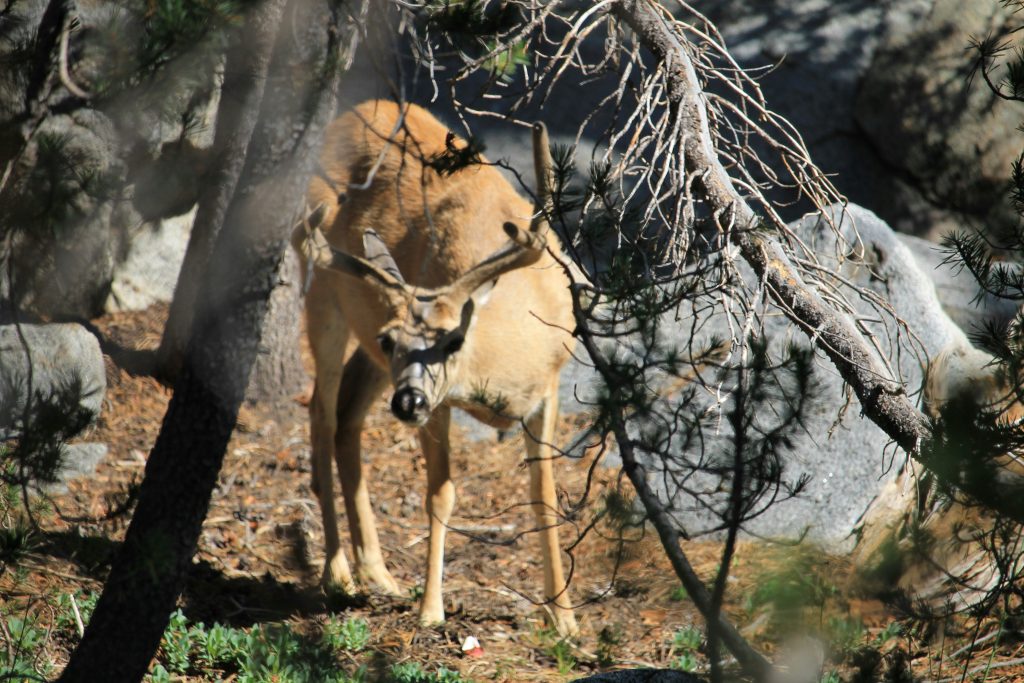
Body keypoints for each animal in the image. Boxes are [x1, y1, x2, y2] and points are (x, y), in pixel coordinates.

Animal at [294, 100, 577, 634]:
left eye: (453, 339)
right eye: (391, 339)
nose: (408, 403)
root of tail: (354, 111)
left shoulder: (549, 387)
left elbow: (545, 493)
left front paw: (565, 620)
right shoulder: (439, 403)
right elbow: (440, 494)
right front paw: (431, 610)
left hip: (368, 354)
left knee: (347, 415)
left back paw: (378, 573)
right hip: (322, 289)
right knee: (321, 413)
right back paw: (338, 573)